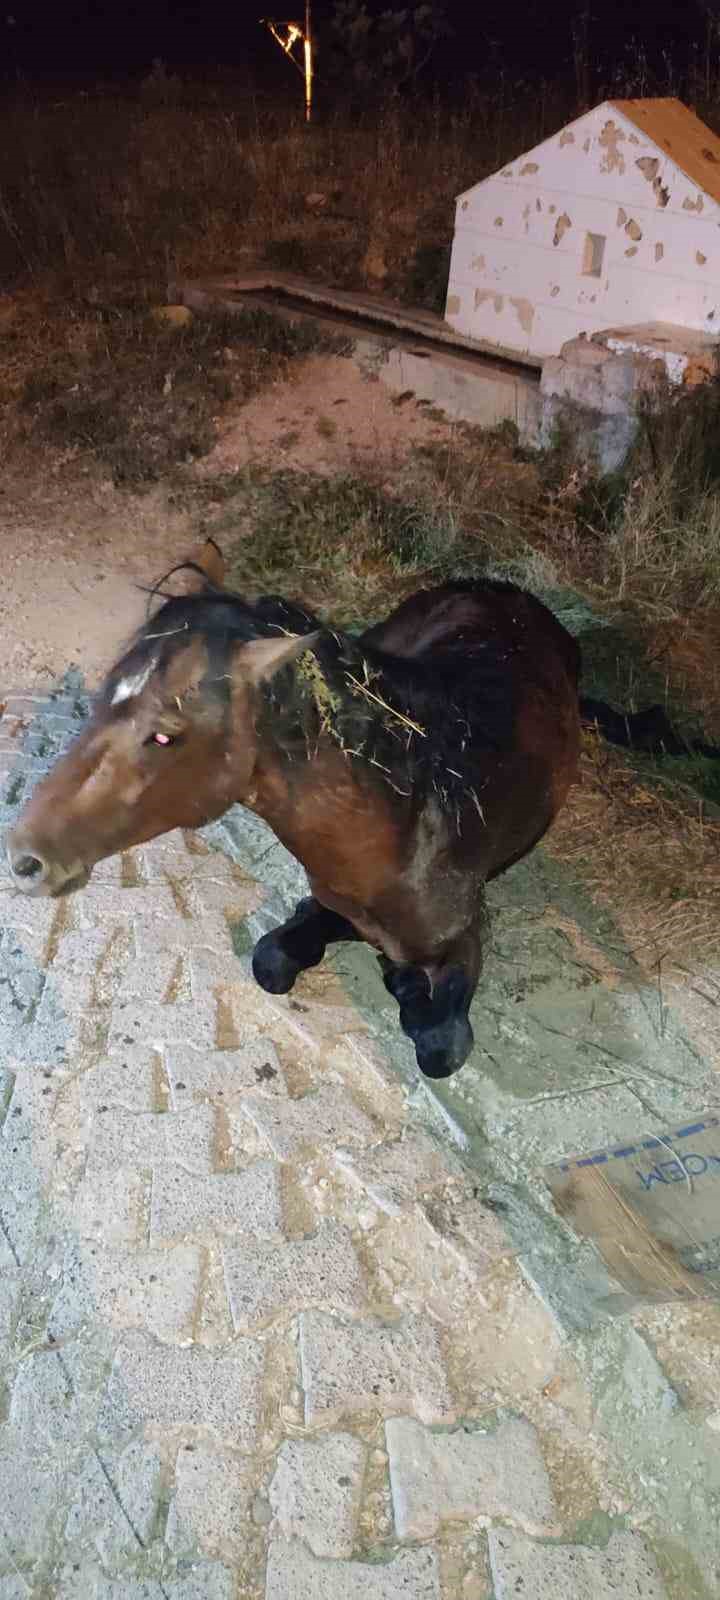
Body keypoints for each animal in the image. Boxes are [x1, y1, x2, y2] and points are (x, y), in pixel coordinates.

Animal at [4, 544, 585, 1081]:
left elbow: (439, 1045)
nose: (25, 859)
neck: (406, 834)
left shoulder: (463, 945)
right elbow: (274, 960)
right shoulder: (329, 906)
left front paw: (401, 983)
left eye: (165, 735)